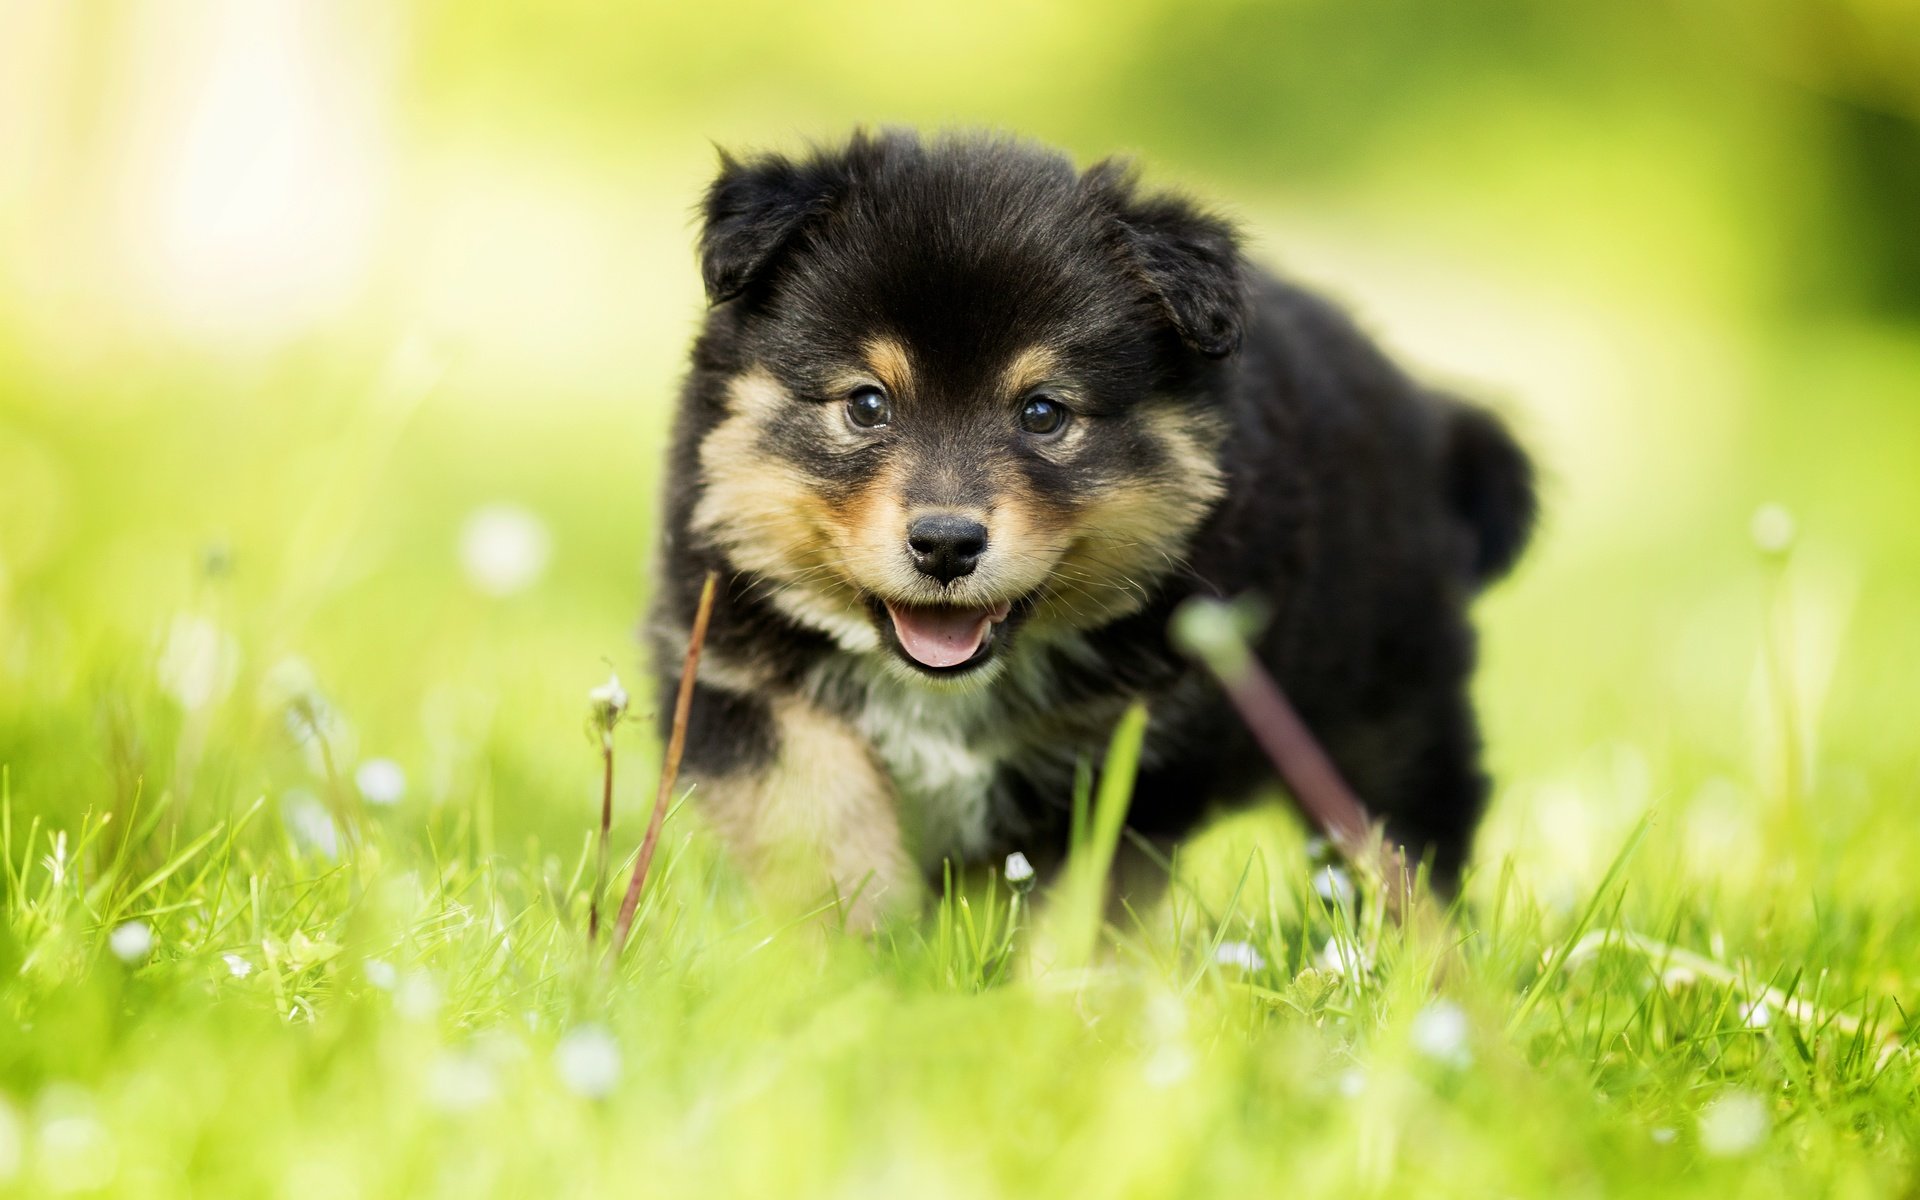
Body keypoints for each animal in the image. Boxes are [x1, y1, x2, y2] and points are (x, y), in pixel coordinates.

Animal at [652, 130, 1536, 921]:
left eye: (1044, 414)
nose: (946, 544)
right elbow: (815, 814)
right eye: (867, 404)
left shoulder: (1138, 750)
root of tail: (1429, 416)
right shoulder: (729, 669)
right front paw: (855, 953)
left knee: (1410, 837)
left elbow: (1080, 906)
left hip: (1387, 714)